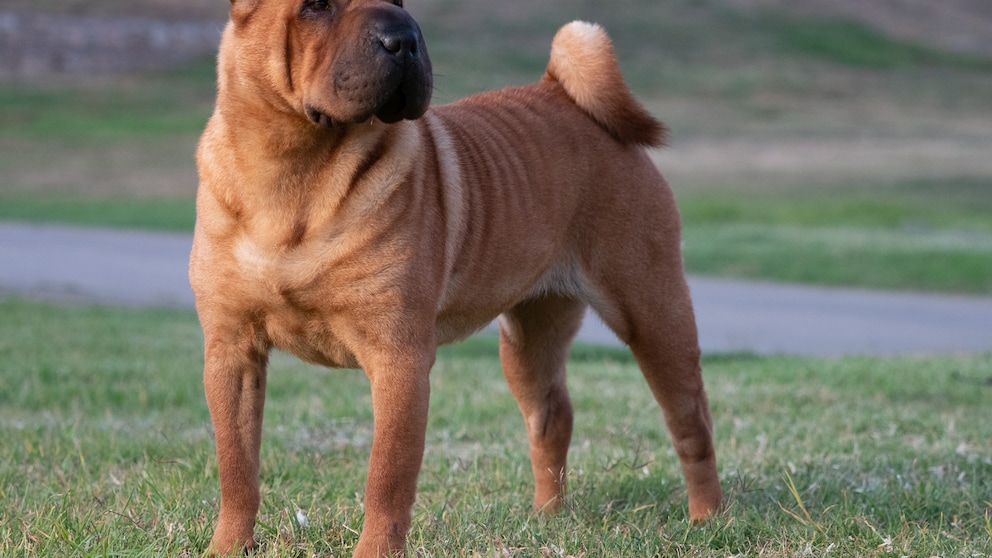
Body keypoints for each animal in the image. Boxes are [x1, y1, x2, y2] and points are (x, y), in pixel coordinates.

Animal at [192, 2, 720, 556]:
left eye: (402, 5)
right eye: (316, 7)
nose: (402, 38)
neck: (293, 173)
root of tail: (563, 93)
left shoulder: (399, 358)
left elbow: (387, 477)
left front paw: (375, 550)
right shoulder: (232, 351)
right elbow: (237, 466)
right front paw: (227, 546)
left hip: (653, 315)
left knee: (692, 422)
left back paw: (708, 518)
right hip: (528, 341)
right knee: (552, 416)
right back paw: (547, 518)